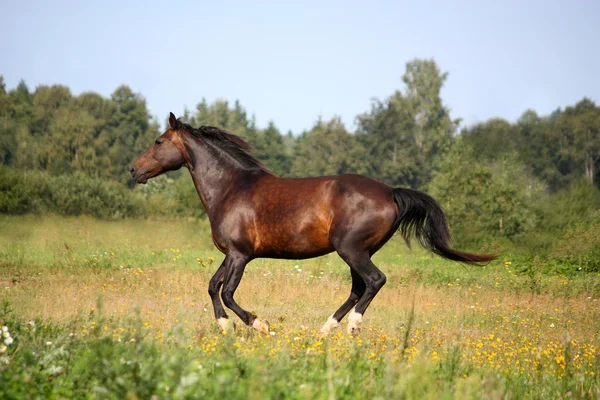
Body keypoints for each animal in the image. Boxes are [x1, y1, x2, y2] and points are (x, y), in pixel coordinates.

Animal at [132, 112, 496, 338]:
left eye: (159, 141)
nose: (133, 170)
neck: (231, 187)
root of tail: (391, 192)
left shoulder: (239, 254)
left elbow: (228, 293)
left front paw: (261, 326)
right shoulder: (231, 254)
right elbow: (212, 287)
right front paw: (224, 328)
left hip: (351, 249)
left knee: (374, 281)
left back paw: (351, 327)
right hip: (359, 251)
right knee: (359, 287)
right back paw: (324, 331)